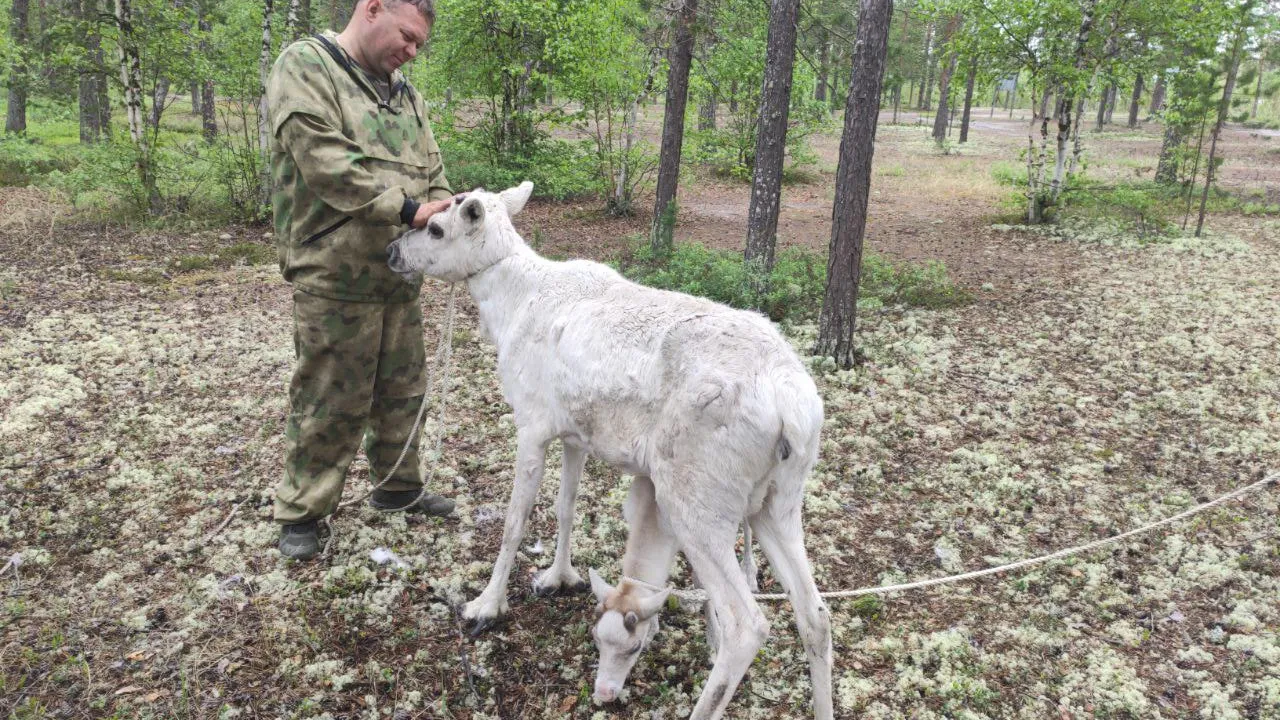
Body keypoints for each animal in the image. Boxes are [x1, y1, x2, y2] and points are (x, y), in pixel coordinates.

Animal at [384, 181, 834, 717]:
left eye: (434, 228)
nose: (391, 251)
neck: (506, 308)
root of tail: (794, 408)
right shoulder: (575, 435)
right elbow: (566, 507)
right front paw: (559, 577)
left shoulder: (531, 424)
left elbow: (515, 522)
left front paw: (486, 605)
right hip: (777, 503)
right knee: (815, 613)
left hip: (698, 503)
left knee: (746, 625)